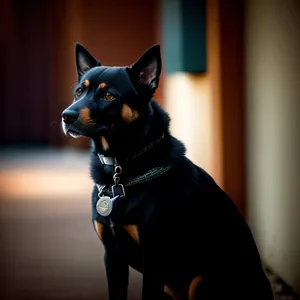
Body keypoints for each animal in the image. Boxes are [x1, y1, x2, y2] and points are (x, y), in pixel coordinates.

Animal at [61, 42, 274, 300]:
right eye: (79, 92)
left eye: (108, 95)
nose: (66, 116)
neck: (118, 170)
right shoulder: (112, 257)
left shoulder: (154, 259)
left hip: (202, 281)